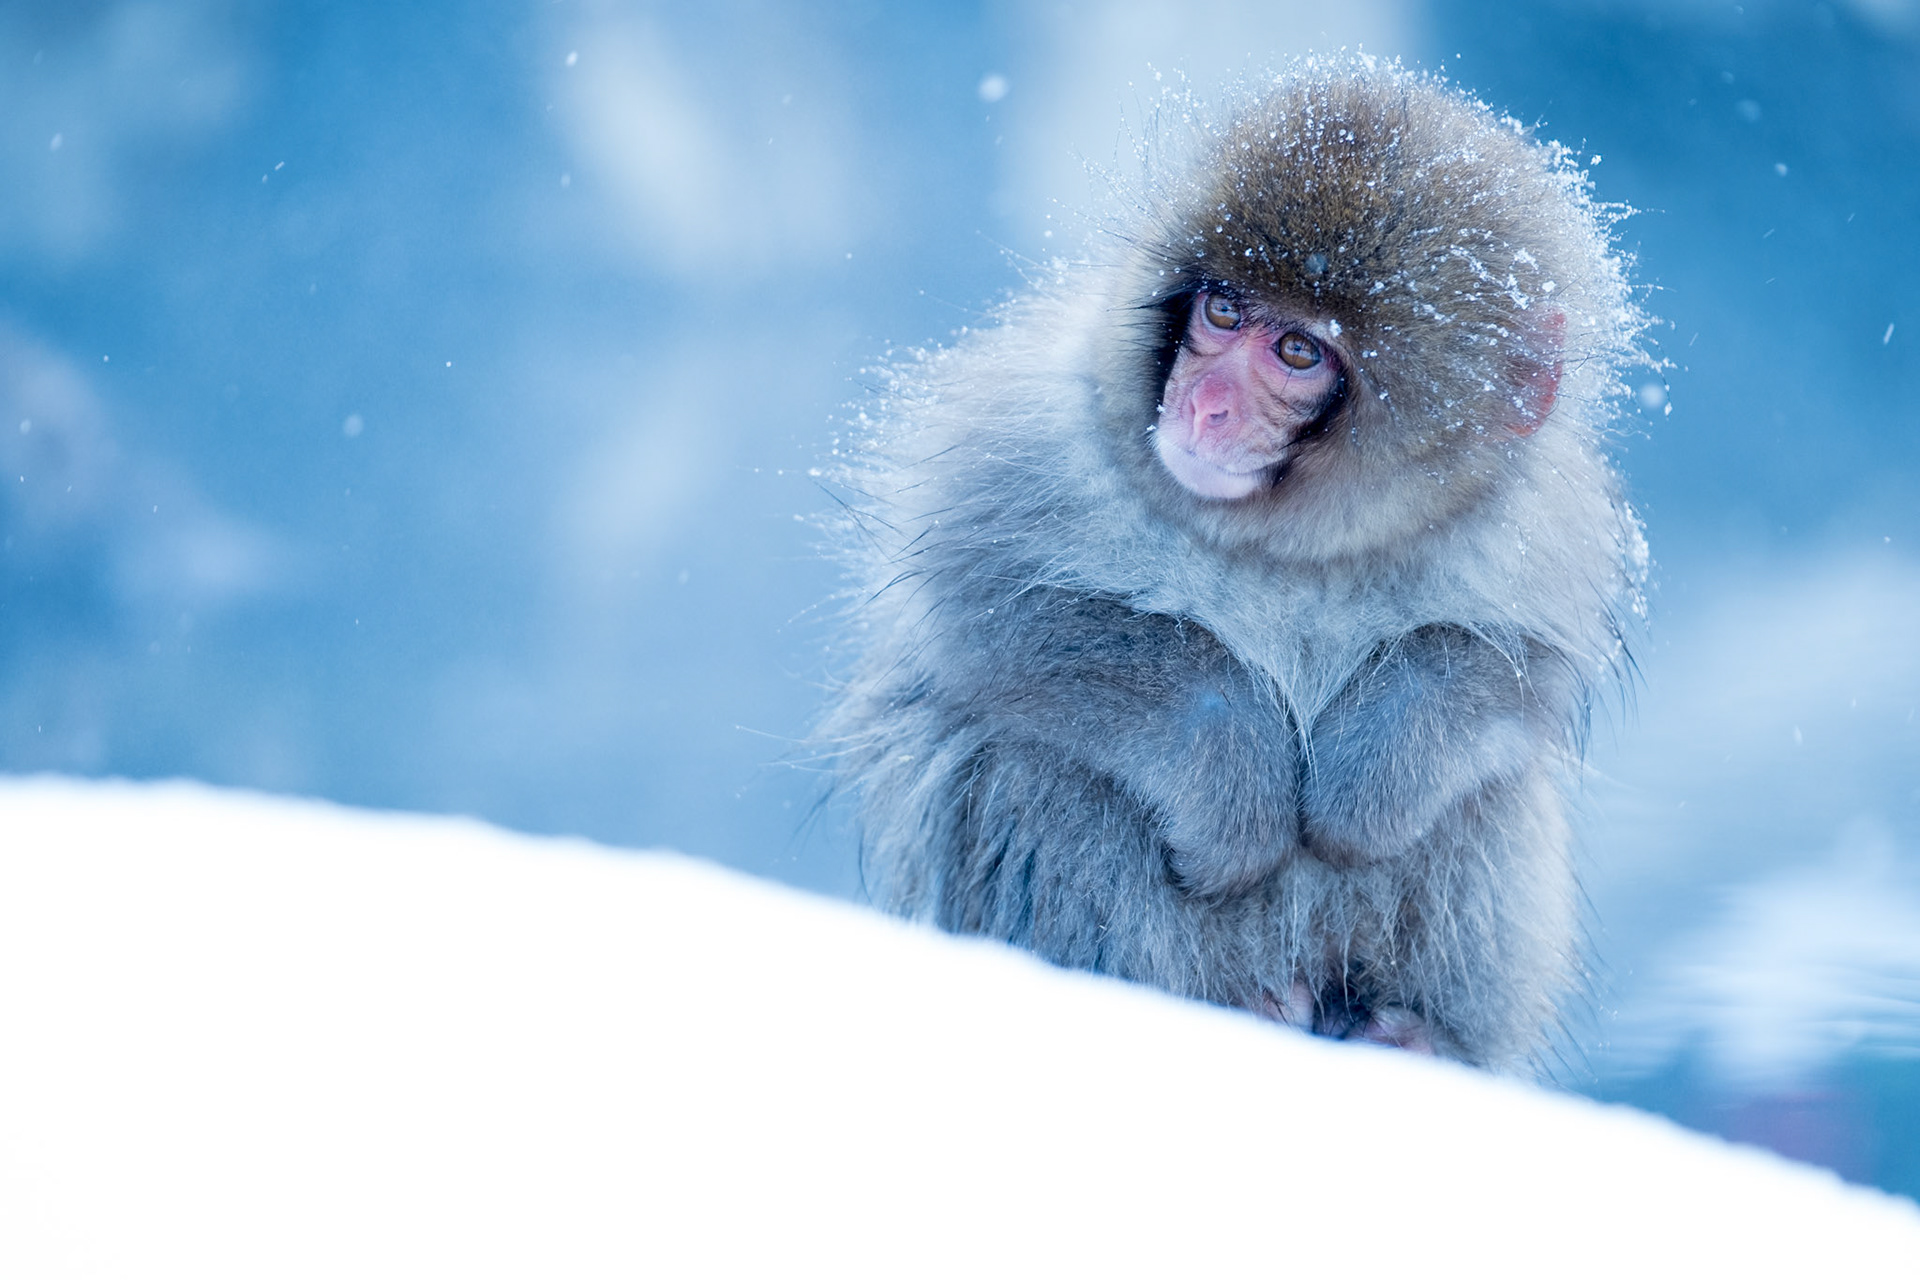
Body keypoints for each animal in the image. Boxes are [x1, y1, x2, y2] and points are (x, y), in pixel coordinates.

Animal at [821, 61, 1647, 1072]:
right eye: (1223, 310)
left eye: (1297, 350)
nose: (1202, 403)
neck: (1277, 543)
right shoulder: (1031, 431)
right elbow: (1001, 613)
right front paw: (1235, 785)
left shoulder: (1537, 513)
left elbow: (1511, 666)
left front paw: (1367, 782)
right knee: (1035, 766)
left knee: (1485, 790)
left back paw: (1410, 1033)